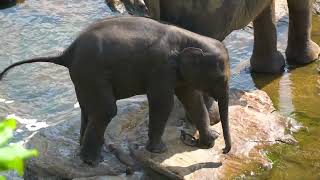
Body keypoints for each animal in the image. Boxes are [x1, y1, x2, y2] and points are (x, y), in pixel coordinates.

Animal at [0, 16, 230, 165]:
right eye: (220, 79)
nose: (224, 150)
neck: (188, 37)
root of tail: (66, 52)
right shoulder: (161, 69)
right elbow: (163, 103)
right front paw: (159, 151)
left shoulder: (179, 74)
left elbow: (192, 100)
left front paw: (210, 140)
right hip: (92, 73)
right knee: (106, 111)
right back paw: (93, 162)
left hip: (83, 78)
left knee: (88, 110)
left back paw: (88, 154)